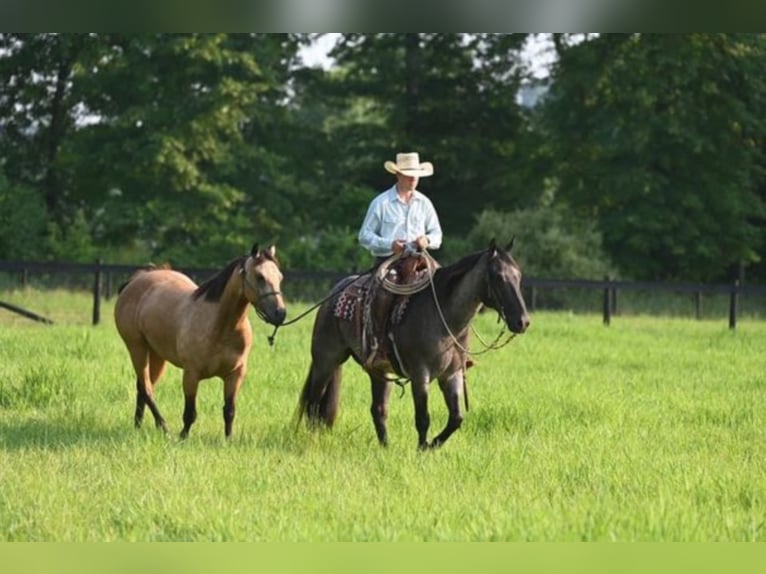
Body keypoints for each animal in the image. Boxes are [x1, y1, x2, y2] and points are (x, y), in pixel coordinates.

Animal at [112, 244, 284, 440]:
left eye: (280, 277)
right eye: (259, 276)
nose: (280, 313)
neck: (219, 327)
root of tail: (135, 281)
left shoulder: (235, 374)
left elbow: (229, 411)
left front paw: (228, 440)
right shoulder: (191, 375)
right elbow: (190, 413)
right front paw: (182, 438)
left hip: (156, 354)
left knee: (142, 386)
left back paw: (138, 425)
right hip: (137, 347)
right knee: (146, 388)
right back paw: (163, 427)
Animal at [296, 241, 532, 452]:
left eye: (518, 276)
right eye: (499, 277)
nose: (523, 321)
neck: (443, 319)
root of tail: (334, 292)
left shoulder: (452, 374)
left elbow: (456, 418)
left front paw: (432, 445)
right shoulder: (420, 375)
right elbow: (423, 418)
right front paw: (422, 448)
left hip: (378, 371)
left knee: (378, 409)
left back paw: (385, 448)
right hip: (326, 360)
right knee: (314, 403)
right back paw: (311, 440)